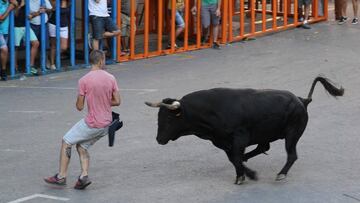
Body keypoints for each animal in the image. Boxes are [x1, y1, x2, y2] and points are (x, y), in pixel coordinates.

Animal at [145, 76, 344, 184]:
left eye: (169, 118)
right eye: (159, 117)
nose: (159, 139)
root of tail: (302, 100)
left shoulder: (239, 138)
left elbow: (235, 158)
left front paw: (247, 175)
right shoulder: (223, 142)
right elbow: (234, 159)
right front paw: (243, 174)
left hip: (292, 134)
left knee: (291, 155)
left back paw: (281, 174)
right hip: (268, 135)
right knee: (263, 147)